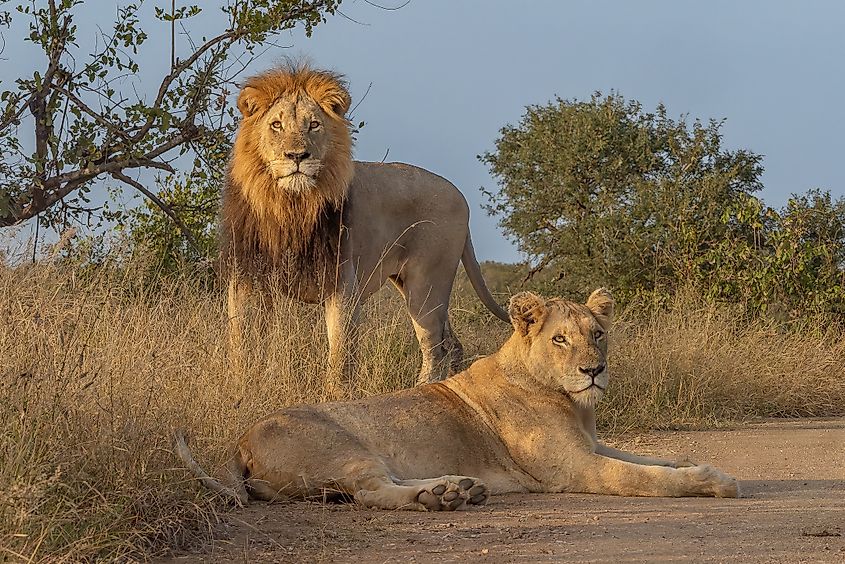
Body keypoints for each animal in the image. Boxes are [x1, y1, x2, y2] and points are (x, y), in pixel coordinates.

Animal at [175, 289, 740, 509]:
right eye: (560, 339)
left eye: (597, 334)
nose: (593, 371)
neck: (572, 402)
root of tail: (239, 443)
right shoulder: (576, 468)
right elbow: (645, 477)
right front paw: (715, 480)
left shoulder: (593, 446)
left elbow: (651, 458)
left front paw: (691, 460)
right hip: (345, 446)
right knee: (370, 491)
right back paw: (441, 497)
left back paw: (457, 489)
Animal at [219, 63, 509, 395]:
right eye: (276, 125)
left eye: (314, 125)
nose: (297, 156)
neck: (291, 206)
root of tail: (460, 196)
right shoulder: (246, 278)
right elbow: (241, 343)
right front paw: (240, 389)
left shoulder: (342, 282)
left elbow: (340, 351)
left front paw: (334, 397)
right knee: (452, 344)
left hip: (427, 286)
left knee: (435, 347)